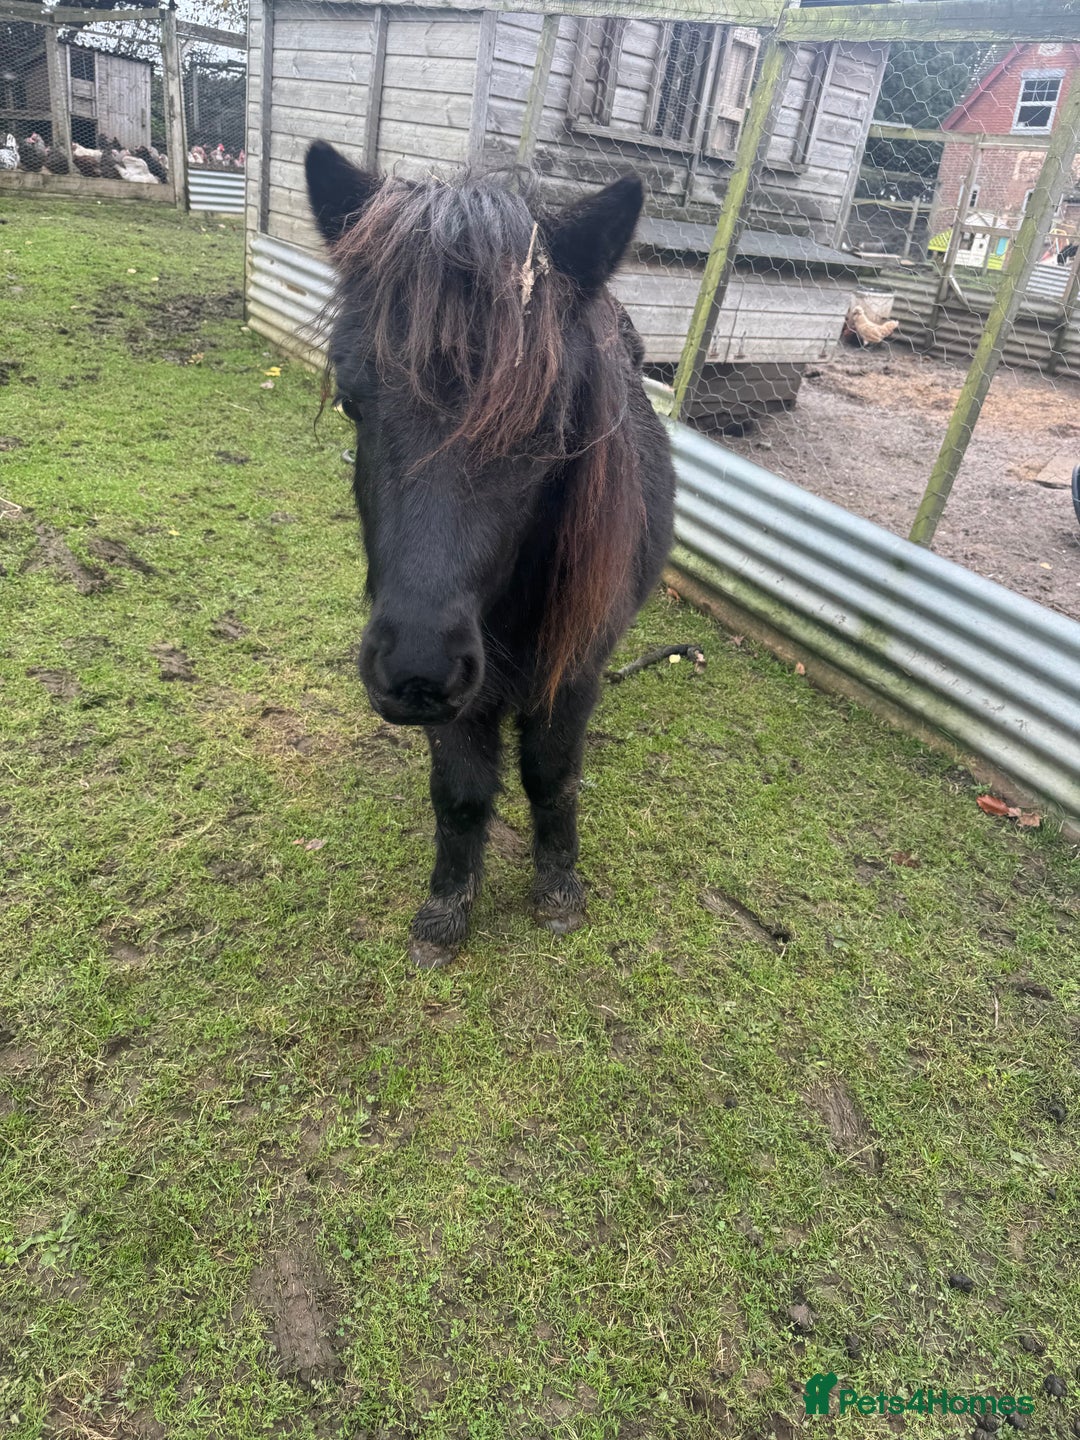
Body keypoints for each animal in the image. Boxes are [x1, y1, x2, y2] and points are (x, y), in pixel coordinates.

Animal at [305, 142, 676, 968]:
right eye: (351, 400)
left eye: (548, 426)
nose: (415, 669)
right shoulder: (458, 697)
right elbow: (462, 793)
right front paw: (447, 909)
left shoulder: (573, 668)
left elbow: (550, 776)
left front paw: (558, 889)